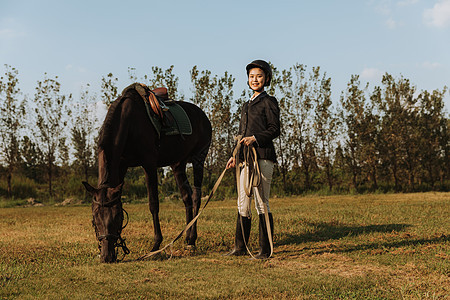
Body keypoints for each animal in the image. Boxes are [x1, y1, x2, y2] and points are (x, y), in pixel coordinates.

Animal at [83, 86, 213, 262]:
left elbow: (153, 204)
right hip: (178, 164)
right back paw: (187, 238)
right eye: (95, 218)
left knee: (196, 196)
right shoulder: (121, 165)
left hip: (199, 157)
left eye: (117, 216)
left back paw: (192, 240)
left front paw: (156, 245)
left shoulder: (149, 165)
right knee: (187, 197)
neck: (129, 122)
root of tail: (203, 116)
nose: (107, 256)